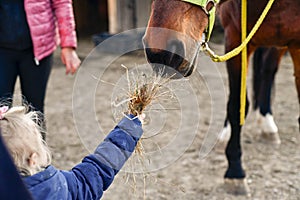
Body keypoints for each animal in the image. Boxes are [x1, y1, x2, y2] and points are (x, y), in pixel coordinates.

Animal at [143, 0, 300, 195]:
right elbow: (236, 105)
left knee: (267, 70)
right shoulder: (235, 37)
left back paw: (268, 124)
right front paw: (236, 172)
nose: (160, 51)